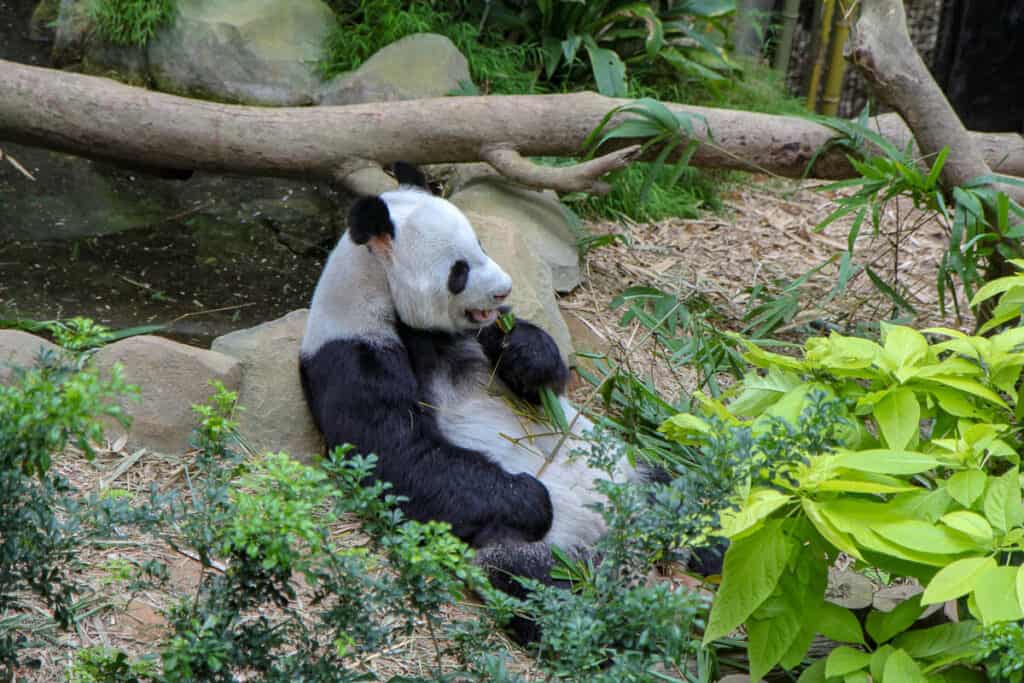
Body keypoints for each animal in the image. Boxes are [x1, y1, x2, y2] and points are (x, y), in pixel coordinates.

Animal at [299, 163, 647, 602]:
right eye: (459, 271)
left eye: (481, 244)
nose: (504, 289)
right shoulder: (353, 350)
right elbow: (401, 453)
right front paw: (531, 498)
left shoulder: (479, 333)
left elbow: (537, 378)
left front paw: (527, 354)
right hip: (541, 545)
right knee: (529, 578)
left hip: (628, 462)